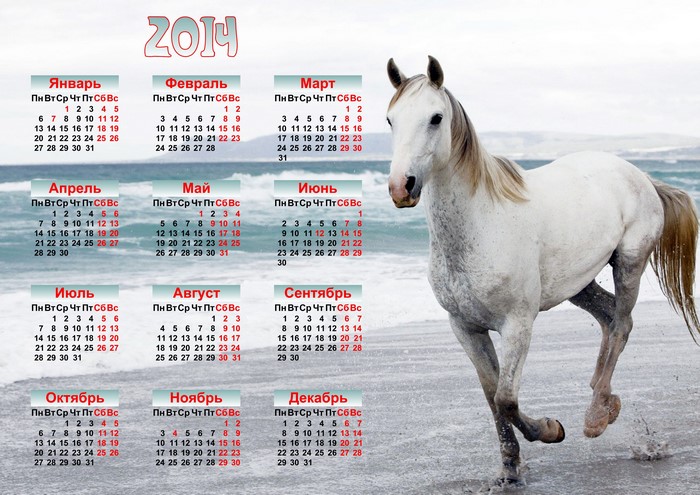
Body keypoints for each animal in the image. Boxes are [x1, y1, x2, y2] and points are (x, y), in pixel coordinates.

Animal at [386, 56, 700, 486]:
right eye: (390, 120)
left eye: (435, 118)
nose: (402, 186)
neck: (482, 224)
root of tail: (641, 176)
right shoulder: (465, 328)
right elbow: (492, 397)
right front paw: (509, 468)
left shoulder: (518, 324)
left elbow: (506, 398)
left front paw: (552, 430)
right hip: (579, 283)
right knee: (609, 317)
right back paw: (605, 400)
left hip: (629, 263)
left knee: (621, 324)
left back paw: (596, 416)